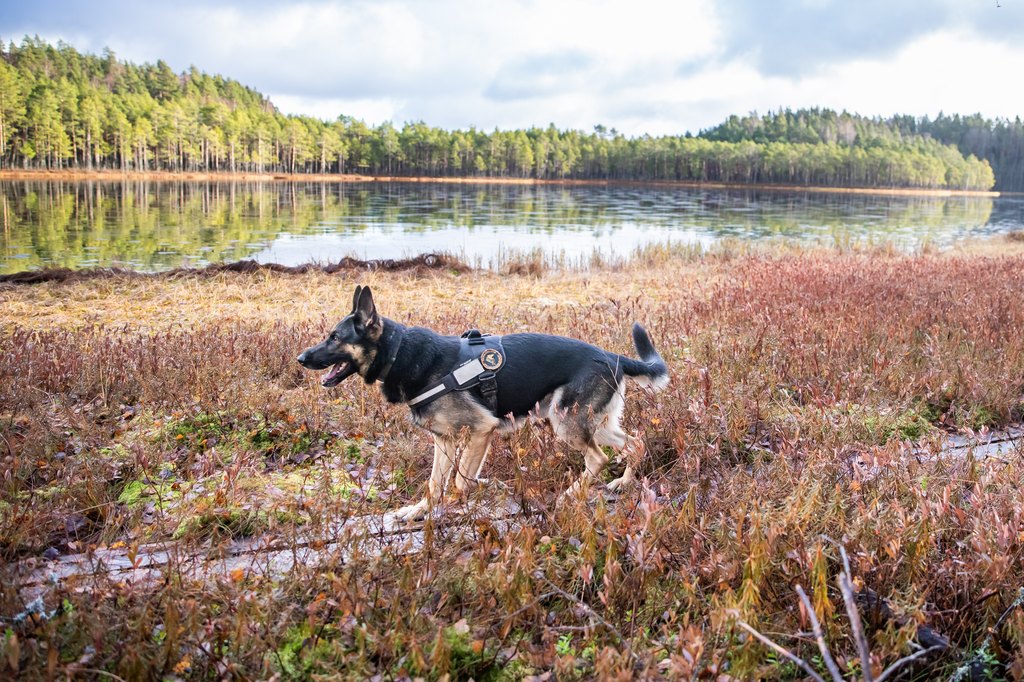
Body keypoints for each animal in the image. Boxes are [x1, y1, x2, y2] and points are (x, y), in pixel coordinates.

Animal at [296, 284, 667, 518]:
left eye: (334, 338)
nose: (301, 358)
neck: (401, 353)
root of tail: (612, 355)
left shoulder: (481, 430)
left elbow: (461, 480)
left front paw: (463, 502)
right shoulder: (444, 440)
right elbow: (435, 483)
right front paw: (418, 512)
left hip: (566, 423)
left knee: (598, 457)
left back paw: (571, 495)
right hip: (592, 422)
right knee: (635, 443)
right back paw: (622, 483)